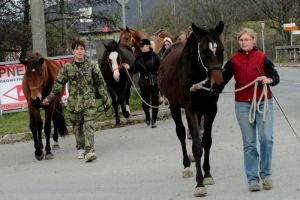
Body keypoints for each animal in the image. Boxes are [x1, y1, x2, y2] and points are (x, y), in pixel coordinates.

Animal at [158, 21, 224, 196]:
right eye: (204, 51)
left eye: (221, 49)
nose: (218, 84)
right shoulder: (191, 110)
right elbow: (197, 147)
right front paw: (199, 183)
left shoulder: (210, 109)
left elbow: (206, 141)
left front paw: (207, 174)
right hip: (175, 106)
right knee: (181, 133)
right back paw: (187, 166)